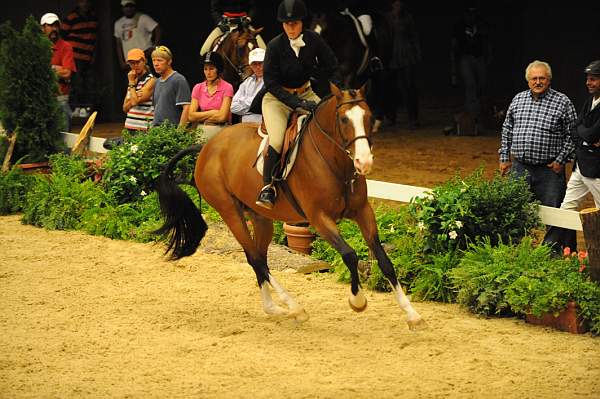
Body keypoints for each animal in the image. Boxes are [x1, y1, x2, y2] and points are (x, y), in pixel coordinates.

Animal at [155, 83, 426, 330]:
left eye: (369, 117)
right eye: (343, 119)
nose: (364, 162)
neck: (336, 165)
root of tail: (206, 148)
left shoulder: (363, 212)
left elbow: (384, 260)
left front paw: (412, 315)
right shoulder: (319, 218)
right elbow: (349, 255)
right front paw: (357, 302)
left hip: (260, 217)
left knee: (259, 259)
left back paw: (274, 308)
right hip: (230, 212)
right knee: (256, 258)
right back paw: (294, 307)